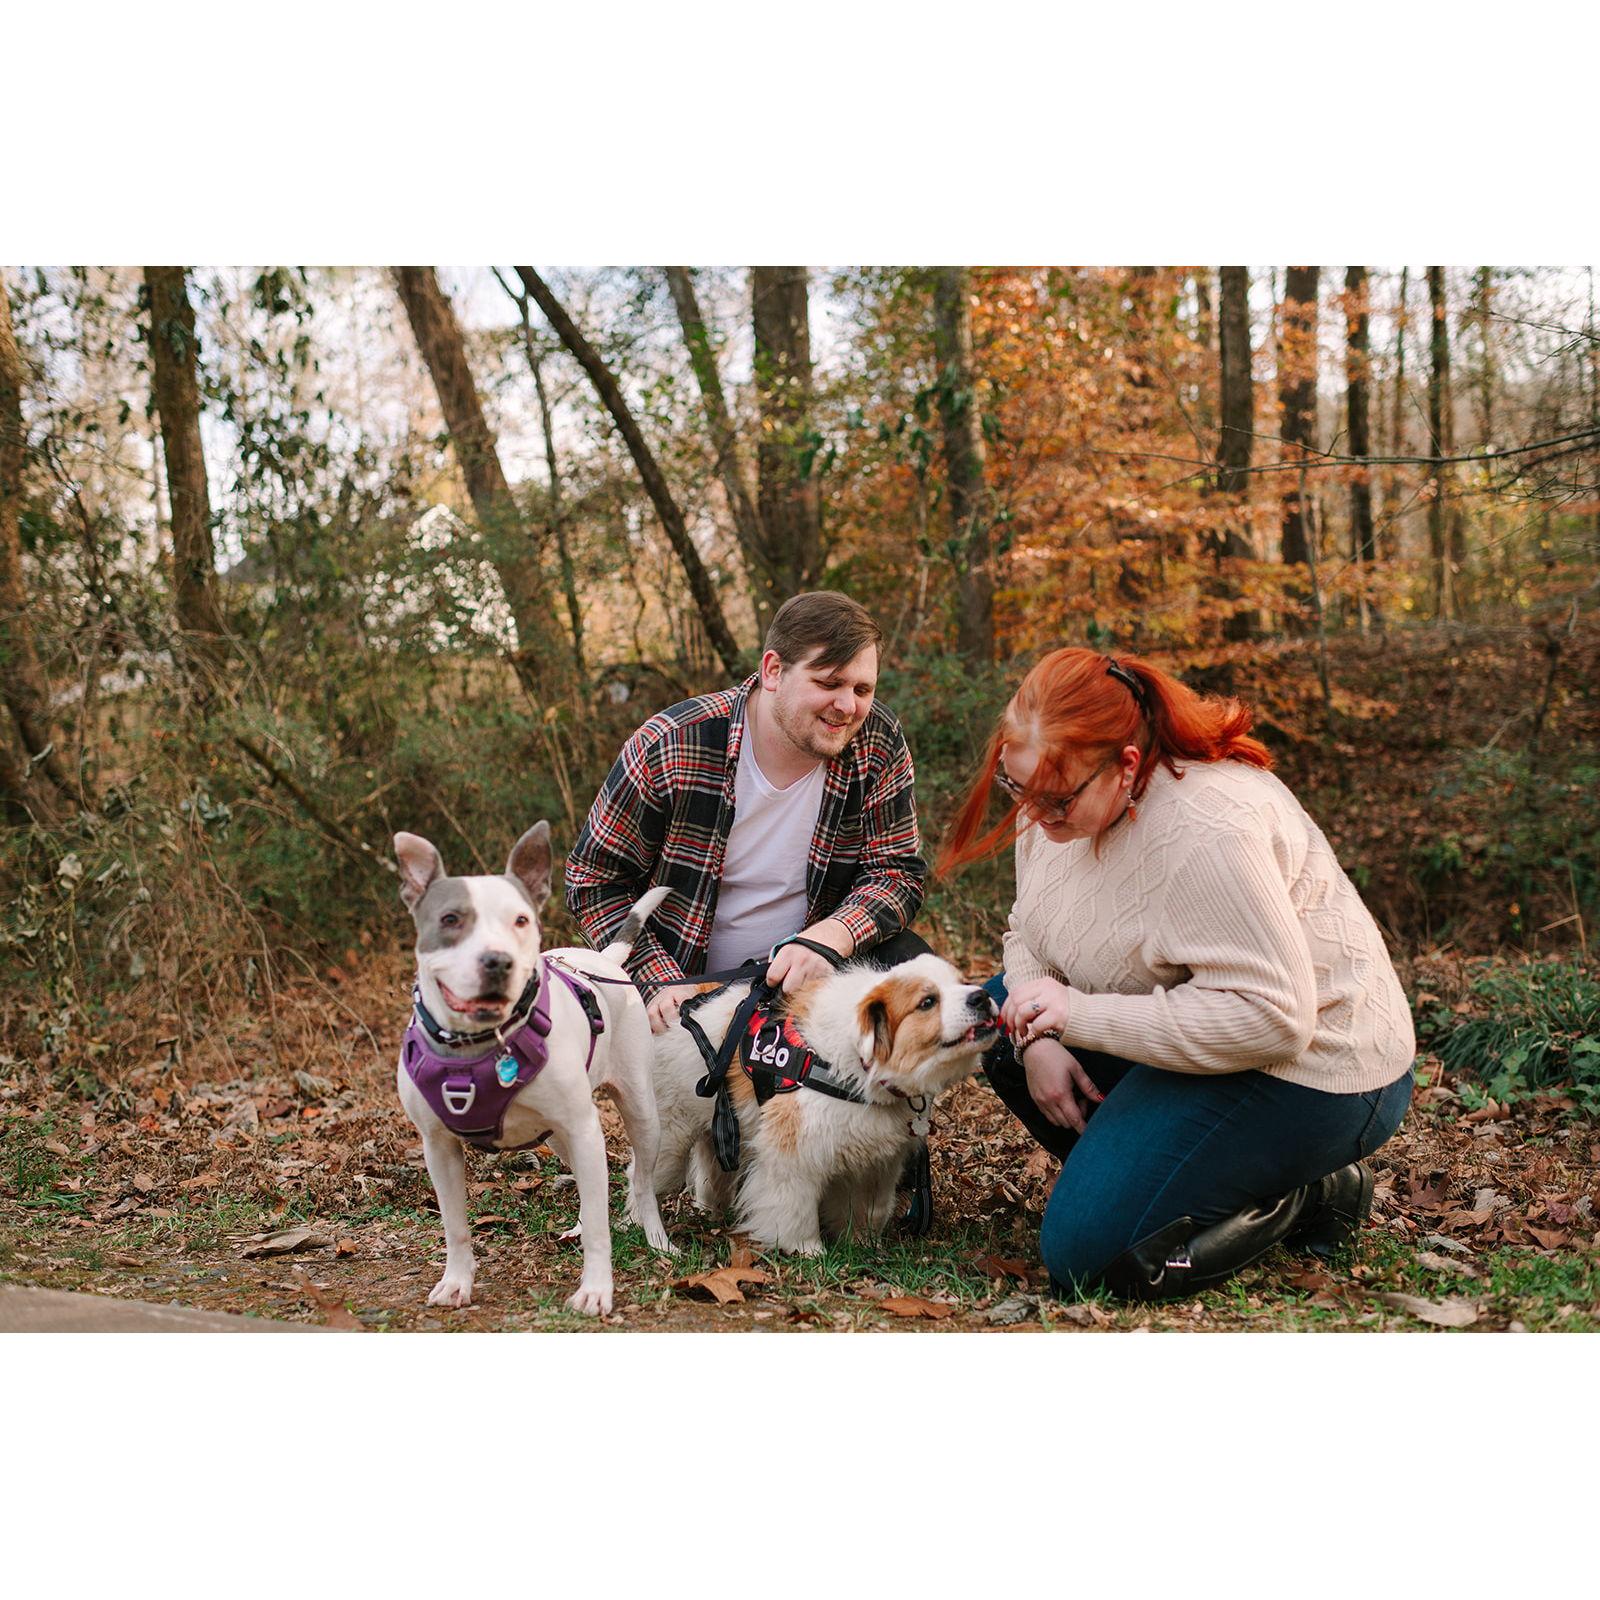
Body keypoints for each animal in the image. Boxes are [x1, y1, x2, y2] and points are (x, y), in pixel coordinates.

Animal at [649, 947, 998, 1248]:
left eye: (963, 983)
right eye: (927, 1002)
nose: (981, 997)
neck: (856, 1064)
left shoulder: (874, 1162)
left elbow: (870, 1209)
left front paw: (862, 1244)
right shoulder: (793, 1155)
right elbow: (794, 1208)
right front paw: (807, 1249)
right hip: (668, 1139)